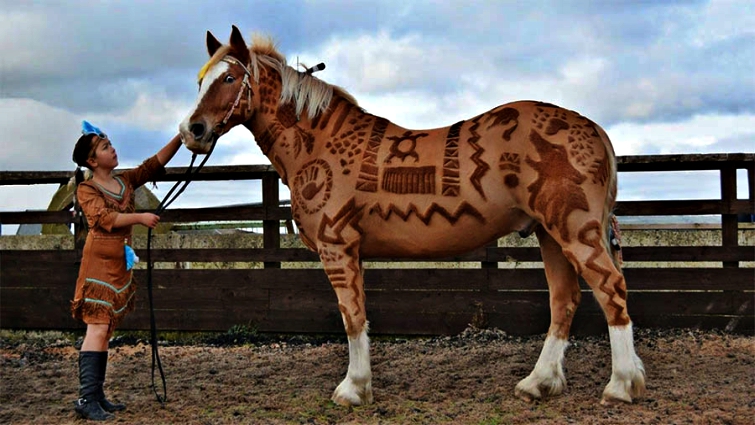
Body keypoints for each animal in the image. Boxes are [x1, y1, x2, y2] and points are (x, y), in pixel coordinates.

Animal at [178, 26, 646, 407]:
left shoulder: (338, 247)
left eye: (230, 78)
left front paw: (353, 388)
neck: (320, 142)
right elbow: (357, 315)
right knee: (564, 301)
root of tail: (595, 130)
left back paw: (621, 385)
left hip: (575, 231)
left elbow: (352, 317)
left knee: (612, 291)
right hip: (551, 235)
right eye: (201, 80)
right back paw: (539, 383)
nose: (192, 131)